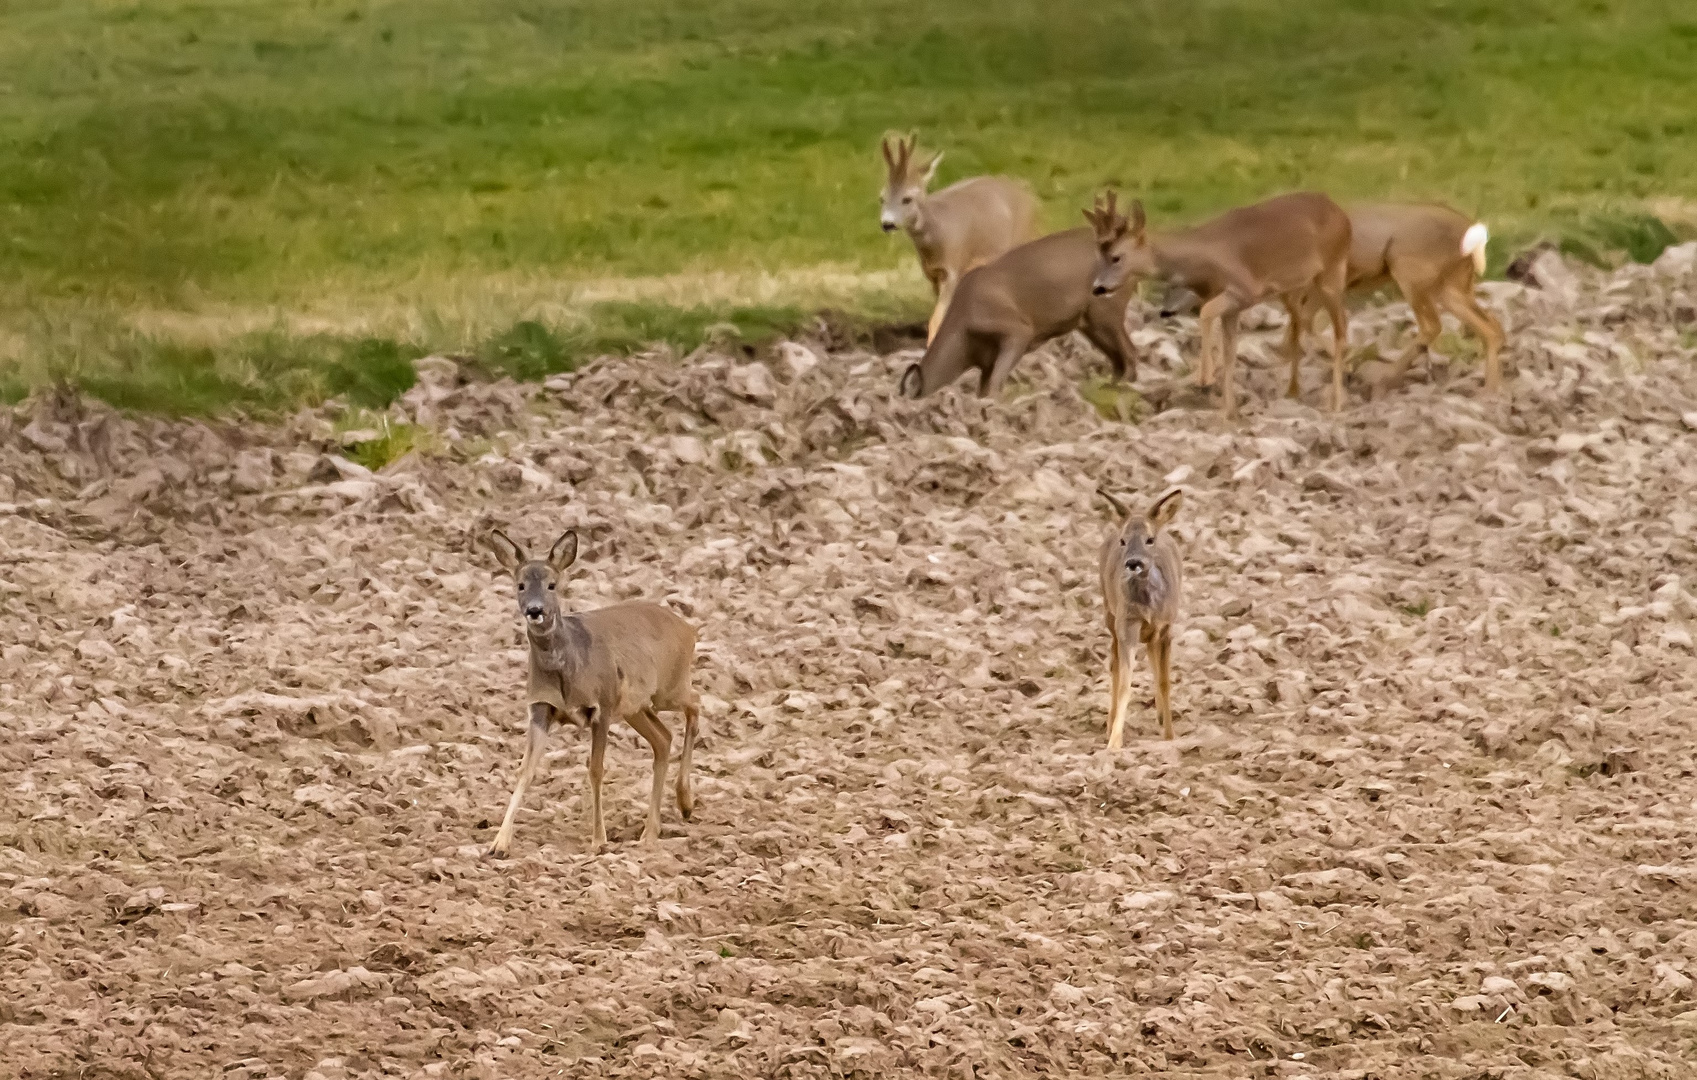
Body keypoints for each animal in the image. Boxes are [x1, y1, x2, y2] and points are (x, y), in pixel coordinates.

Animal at [485, 529, 702, 852]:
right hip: (636, 707)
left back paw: (685, 802)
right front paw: (499, 843)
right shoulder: (540, 708)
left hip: (667, 688)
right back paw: (650, 832)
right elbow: (526, 769)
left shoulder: (602, 705)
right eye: (520, 585)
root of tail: (688, 628)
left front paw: (599, 840)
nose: (535, 610)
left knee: (695, 703)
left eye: (552, 584)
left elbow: (596, 769)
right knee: (663, 738)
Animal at [882, 134, 1038, 343]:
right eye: (882, 198)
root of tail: (1027, 194)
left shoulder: (953, 269)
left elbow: (937, 320)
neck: (938, 233)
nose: (887, 223)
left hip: (1021, 238)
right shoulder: (933, 275)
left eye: (907, 199)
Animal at [896, 227, 1133, 400]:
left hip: (1105, 311)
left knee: (1130, 352)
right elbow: (984, 389)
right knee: (1119, 357)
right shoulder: (986, 360)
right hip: (1089, 321)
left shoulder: (1017, 331)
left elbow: (995, 386)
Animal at [1086, 190, 1350, 417]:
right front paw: (1228, 413)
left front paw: (1204, 378)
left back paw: (1336, 402)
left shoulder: (1243, 290)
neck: (1203, 259)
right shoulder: (1232, 306)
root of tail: (1341, 213)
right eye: (1099, 256)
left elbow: (1205, 312)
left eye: (1116, 257)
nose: (1098, 287)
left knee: (1340, 327)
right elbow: (1230, 352)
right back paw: (1298, 390)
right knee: (1304, 323)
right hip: (1298, 288)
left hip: (1332, 270)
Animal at [1092, 485, 1187, 747]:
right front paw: (1114, 743)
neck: (1148, 607)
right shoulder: (1127, 624)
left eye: (1149, 539)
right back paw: (1109, 725)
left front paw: (1170, 736)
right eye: (1124, 541)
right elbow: (1125, 683)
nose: (1133, 562)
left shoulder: (1166, 628)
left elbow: (1165, 682)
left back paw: (1160, 717)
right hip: (1110, 615)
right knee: (1114, 664)